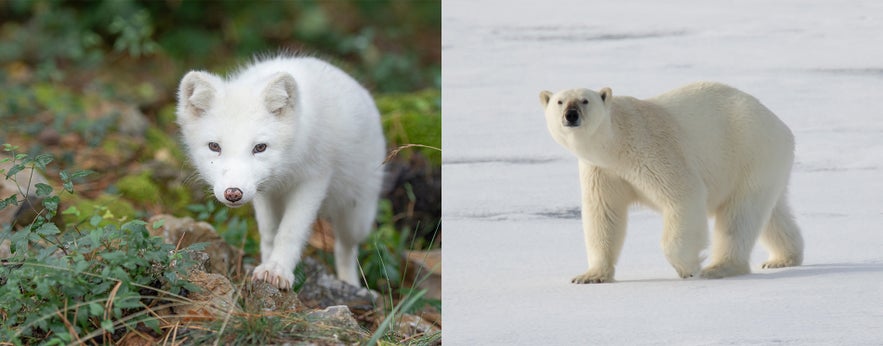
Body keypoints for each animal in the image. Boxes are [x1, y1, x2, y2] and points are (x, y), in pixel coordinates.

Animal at [177, 56, 386, 290]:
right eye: (214, 146)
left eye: (260, 147)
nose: (233, 193)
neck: (286, 168)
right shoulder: (263, 192)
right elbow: (269, 232)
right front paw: (267, 264)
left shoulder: (314, 179)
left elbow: (290, 231)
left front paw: (277, 269)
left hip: (357, 215)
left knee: (346, 247)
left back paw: (350, 283)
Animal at [536, 82, 804, 282]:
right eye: (560, 101)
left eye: (585, 100)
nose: (570, 115)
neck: (615, 146)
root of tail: (781, 125)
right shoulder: (603, 171)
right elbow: (604, 215)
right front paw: (589, 276)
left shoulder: (651, 149)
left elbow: (683, 195)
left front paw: (689, 267)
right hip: (764, 166)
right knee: (772, 213)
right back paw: (784, 258)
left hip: (750, 152)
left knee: (739, 216)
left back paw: (719, 267)